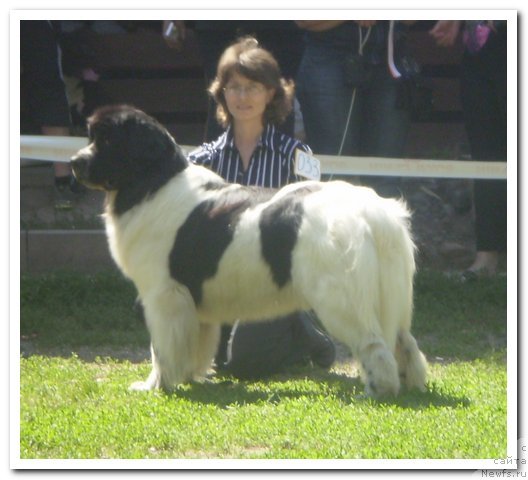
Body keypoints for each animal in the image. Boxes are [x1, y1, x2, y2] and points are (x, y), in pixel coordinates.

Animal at [70, 106, 426, 398]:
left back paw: (379, 390)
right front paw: (191, 376)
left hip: (341, 299)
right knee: (404, 340)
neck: (153, 182)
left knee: (373, 343)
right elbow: (196, 343)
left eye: (107, 140)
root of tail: (374, 211)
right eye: (92, 137)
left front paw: (156, 385)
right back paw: (410, 383)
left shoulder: (164, 295)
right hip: (391, 295)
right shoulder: (193, 303)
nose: (74, 162)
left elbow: (162, 348)